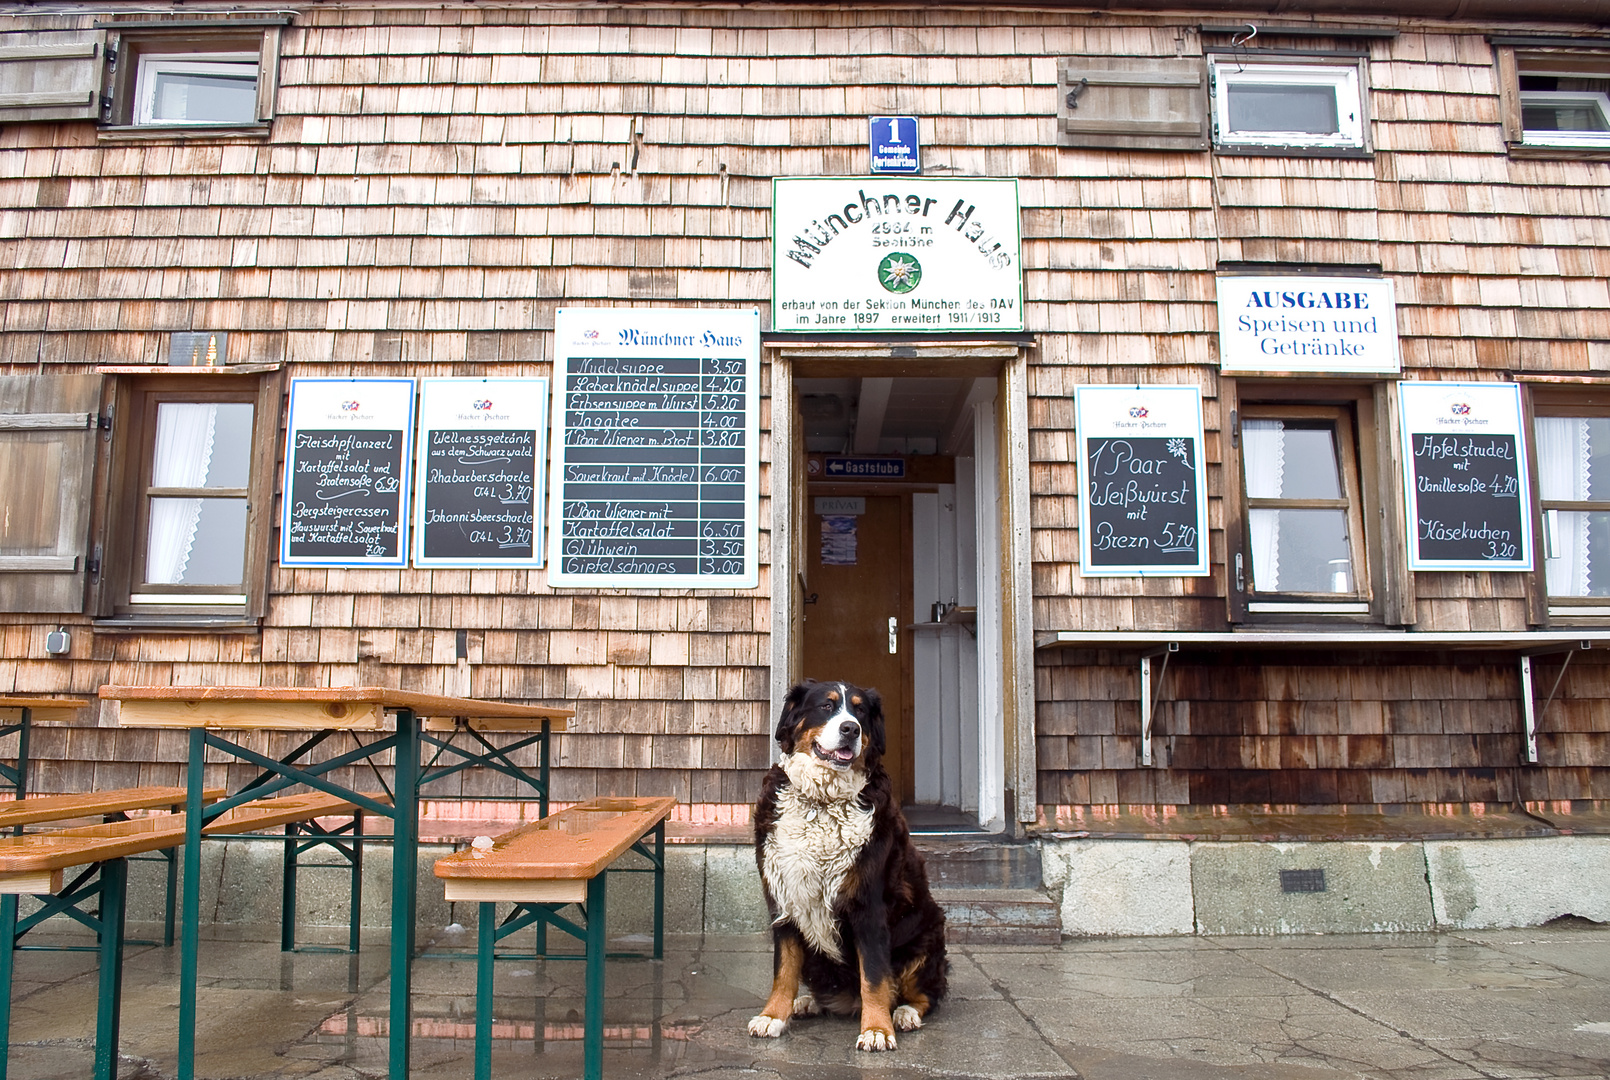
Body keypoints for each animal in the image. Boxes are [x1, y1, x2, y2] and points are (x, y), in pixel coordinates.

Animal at [747, 679, 946, 1049]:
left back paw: (904, 1014)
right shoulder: (785, 901)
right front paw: (773, 1016)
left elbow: (875, 977)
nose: (850, 729)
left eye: (860, 711)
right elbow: (784, 971)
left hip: (927, 935)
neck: (822, 802)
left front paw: (877, 1029)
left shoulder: (868, 907)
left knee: (924, 994)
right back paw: (806, 1002)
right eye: (826, 706)